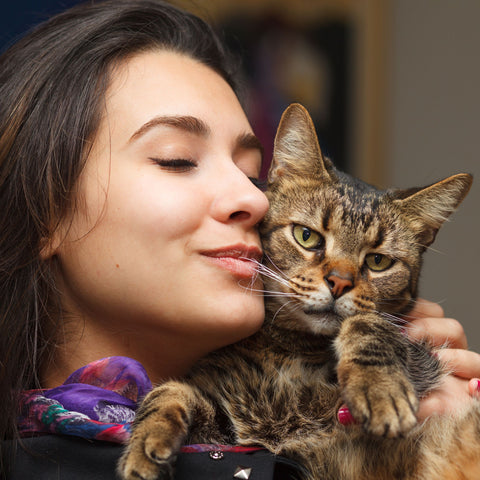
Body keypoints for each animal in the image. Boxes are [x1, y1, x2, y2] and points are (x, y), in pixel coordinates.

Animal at [118, 103, 478, 478]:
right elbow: (168, 391)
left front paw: (380, 389)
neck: (290, 348)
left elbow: (370, 323)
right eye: (307, 236)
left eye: (377, 261)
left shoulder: (423, 359)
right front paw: (146, 444)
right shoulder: (229, 419)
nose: (339, 282)